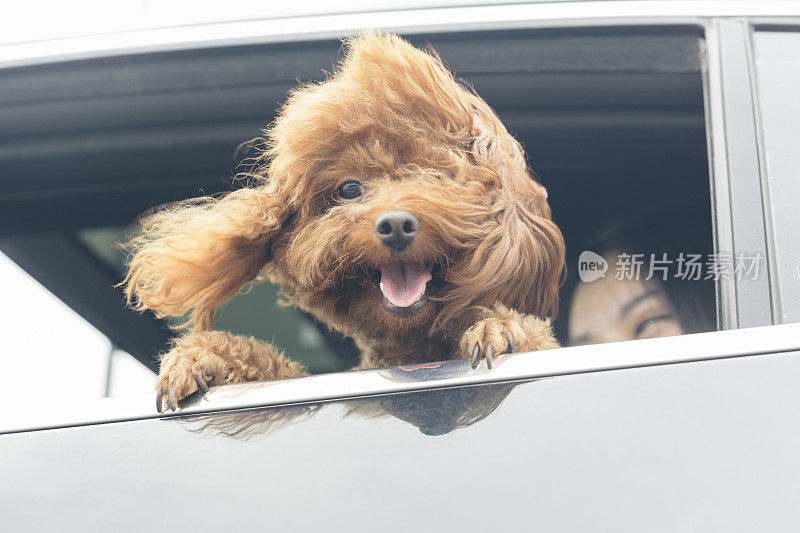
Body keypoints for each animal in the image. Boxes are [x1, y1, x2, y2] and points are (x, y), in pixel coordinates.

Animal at [123, 32, 564, 412]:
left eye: (437, 177)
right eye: (350, 189)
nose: (395, 226)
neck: (414, 354)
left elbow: (531, 337)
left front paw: (501, 330)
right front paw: (205, 355)